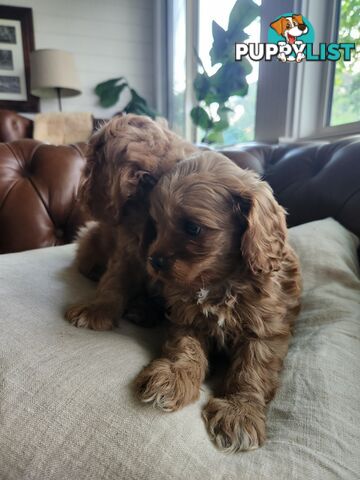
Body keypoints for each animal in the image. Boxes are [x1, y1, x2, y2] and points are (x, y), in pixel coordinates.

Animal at [66, 113, 198, 330]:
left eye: (93, 160)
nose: (80, 192)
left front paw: (145, 309)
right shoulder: (127, 251)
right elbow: (114, 281)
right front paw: (98, 309)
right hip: (90, 237)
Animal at [135, 153, 300, 454]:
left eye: (193, 228)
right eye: (157, 224)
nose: (154, 261)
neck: (219, 281)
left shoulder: (265, 332)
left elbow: (252, 370)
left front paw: (240, 411)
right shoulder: (185, 318)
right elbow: (185, 349)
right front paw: (173, 377)